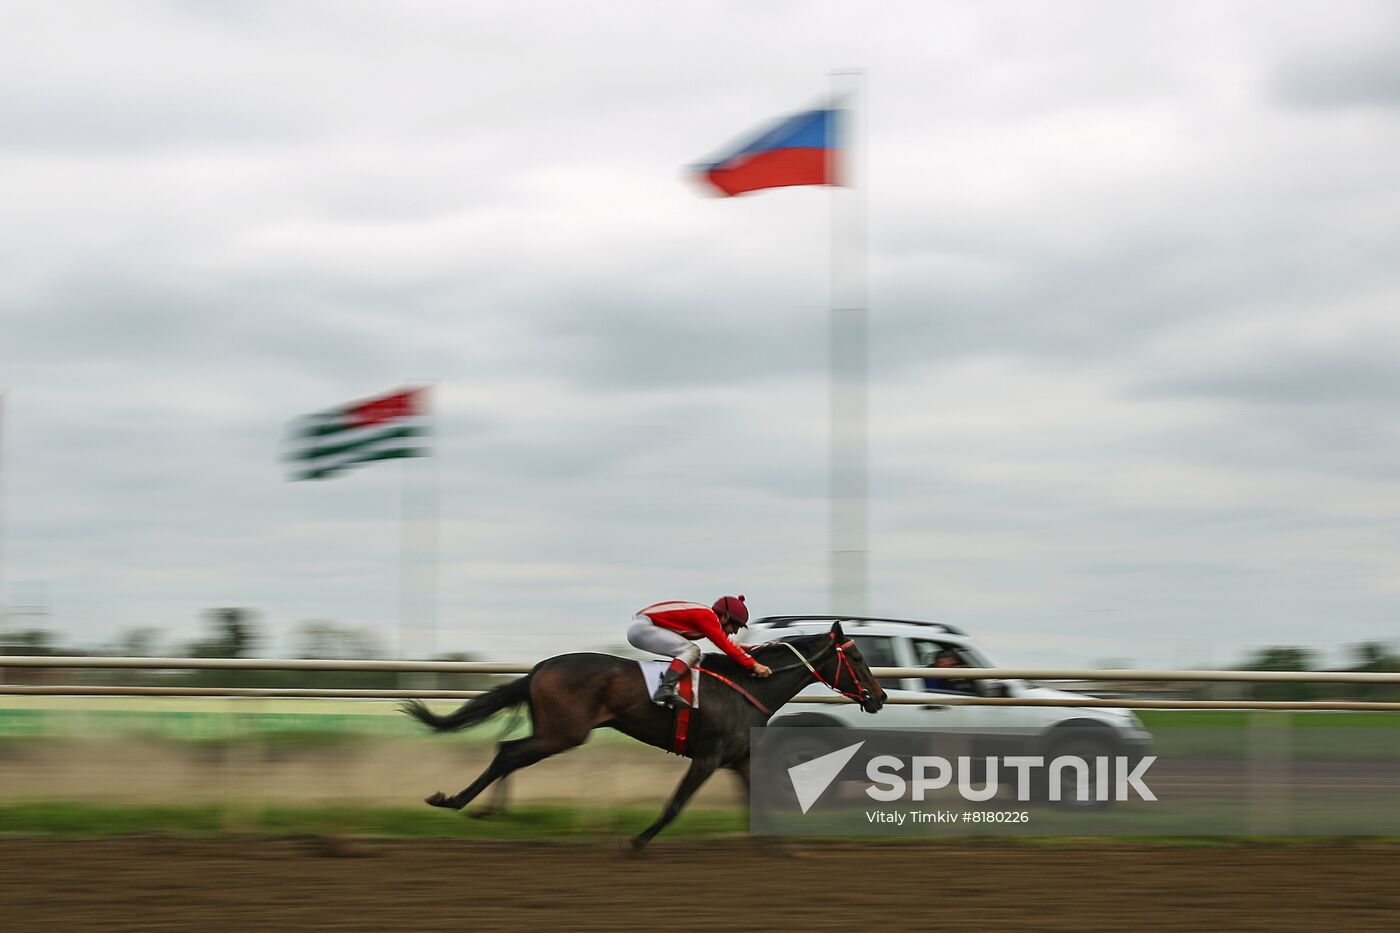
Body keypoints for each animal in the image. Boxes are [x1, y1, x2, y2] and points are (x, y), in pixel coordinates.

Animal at [400, 621, 887, 850]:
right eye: (857, 656)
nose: (880, 696)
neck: (746, 689)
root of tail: (539, 668)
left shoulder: (739, 758)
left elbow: (759, 804)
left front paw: (781, 850)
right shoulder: (708, 758)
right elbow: (674, 805)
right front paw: (636, 841)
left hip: (557, 732)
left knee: (511, 752)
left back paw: (480, 808)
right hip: (564, 732)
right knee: (508, 750)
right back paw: (456, 802)